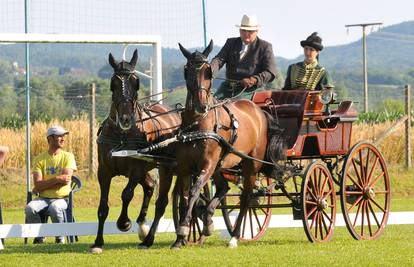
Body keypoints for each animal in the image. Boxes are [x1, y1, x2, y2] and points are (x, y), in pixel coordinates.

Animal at [90, 50, 181, 253]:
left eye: (136, 82)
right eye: (113, 83)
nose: (125, 119)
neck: (121, 134)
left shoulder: (136, 169)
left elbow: (126, 194)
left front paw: (124, 222)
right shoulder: (104, 171)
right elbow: (102, 207)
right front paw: (98, 242)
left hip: (164, 167)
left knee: (163, 199)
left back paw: (150, 237)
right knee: (150, 187)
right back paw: (142, 226)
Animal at [171, 41, 282, 249]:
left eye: (208, 72)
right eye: (187, 71)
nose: (201, 106)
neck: (198, 124)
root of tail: (259, 111)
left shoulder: (207, 164)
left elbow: (194, 192)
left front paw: (184, 228)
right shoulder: (185, 167)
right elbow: (184, 197)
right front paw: (181, 236)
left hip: (250, 165)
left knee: (246, 198)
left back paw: (234, 236)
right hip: (220, 165)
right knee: (224, 188)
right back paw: (208, 220)